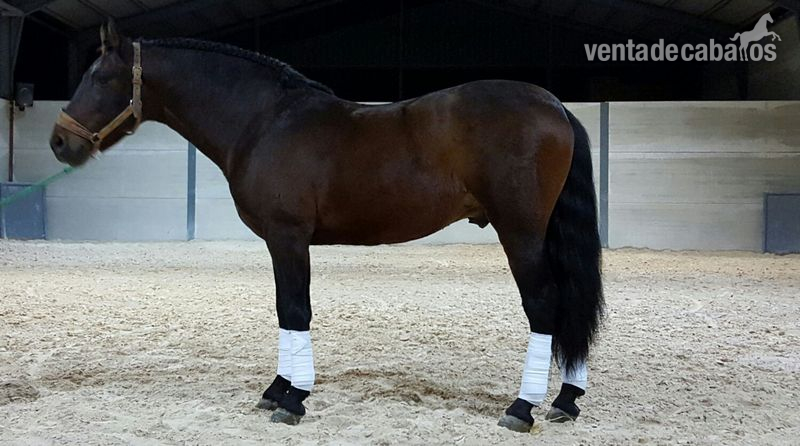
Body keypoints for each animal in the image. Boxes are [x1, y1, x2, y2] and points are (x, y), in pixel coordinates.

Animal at [49, 20, 603, 433]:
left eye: (99, 78)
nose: (59, 142)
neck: (265, 122)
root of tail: (555, 105)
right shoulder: (281, 242)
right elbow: (283, 309)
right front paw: (276, 391)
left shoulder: (288, 236)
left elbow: (296, 308)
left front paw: (294, 399)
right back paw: (566, 400)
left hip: (521, 233)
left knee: (545, 305)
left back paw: (522, 408)